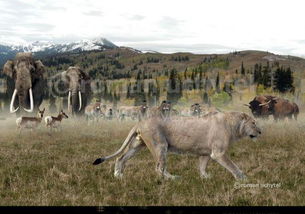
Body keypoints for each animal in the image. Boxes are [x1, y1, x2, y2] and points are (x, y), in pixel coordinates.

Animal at [93, 111, 262, 180]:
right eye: (253, 123)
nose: (260, 132)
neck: (234, 127)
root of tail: (140, 122)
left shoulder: (206, 153)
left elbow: (202, 166)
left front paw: (205, 178)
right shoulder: (218, 153)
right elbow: (233, 166)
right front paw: (243, 178)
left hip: (137, 145)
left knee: (120, 158)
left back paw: (118, 176)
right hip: (160, 145)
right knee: (159, 168)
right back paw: (173, 179)